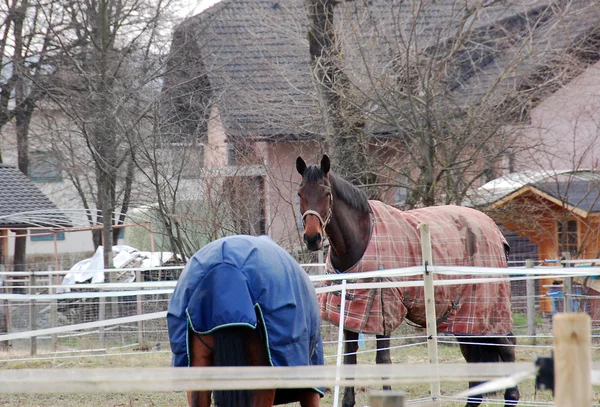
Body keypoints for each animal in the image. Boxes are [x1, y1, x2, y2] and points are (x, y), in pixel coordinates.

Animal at [296, 155, 520, 407]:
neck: (359, 241)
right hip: (467, 320)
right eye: (300, 193)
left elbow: (383, 361)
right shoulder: (351, 317)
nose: (312, 238)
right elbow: (349, 361)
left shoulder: (383, 315)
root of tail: (495, 231)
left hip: (489, 310)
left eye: (326, 193)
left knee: (507, 347)